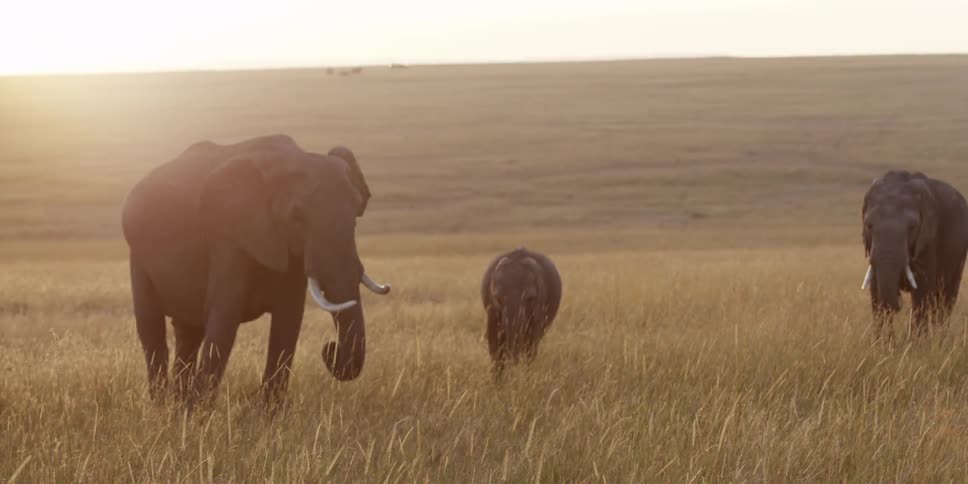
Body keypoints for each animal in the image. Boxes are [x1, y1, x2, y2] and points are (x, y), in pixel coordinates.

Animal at [121, 134, 390, 401]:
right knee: (151, 329)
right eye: (297, 217)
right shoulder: (229, 238)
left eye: (355, 216)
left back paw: (178, 404)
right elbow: (225, 316)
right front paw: (201, 410)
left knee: (189, 332)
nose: (329, 348)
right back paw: (163, 405)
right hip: (138, 256)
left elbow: (288, 321)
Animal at [481, 248, 562, 378]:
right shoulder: (491, 307)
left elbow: (531, 342)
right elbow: (494, 341)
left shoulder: (540, 304)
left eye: (530, 297)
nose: (513, 361)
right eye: (497, 297)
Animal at [861, 170, 968, 338]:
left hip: (959, 255)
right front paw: (883, 344)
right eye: (869, 225)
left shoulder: (929, 240)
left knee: (945, 298)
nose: (899, 302)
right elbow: (876, 290)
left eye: (912, 227)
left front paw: (915, 343)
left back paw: (940, 338)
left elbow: (922, 291)